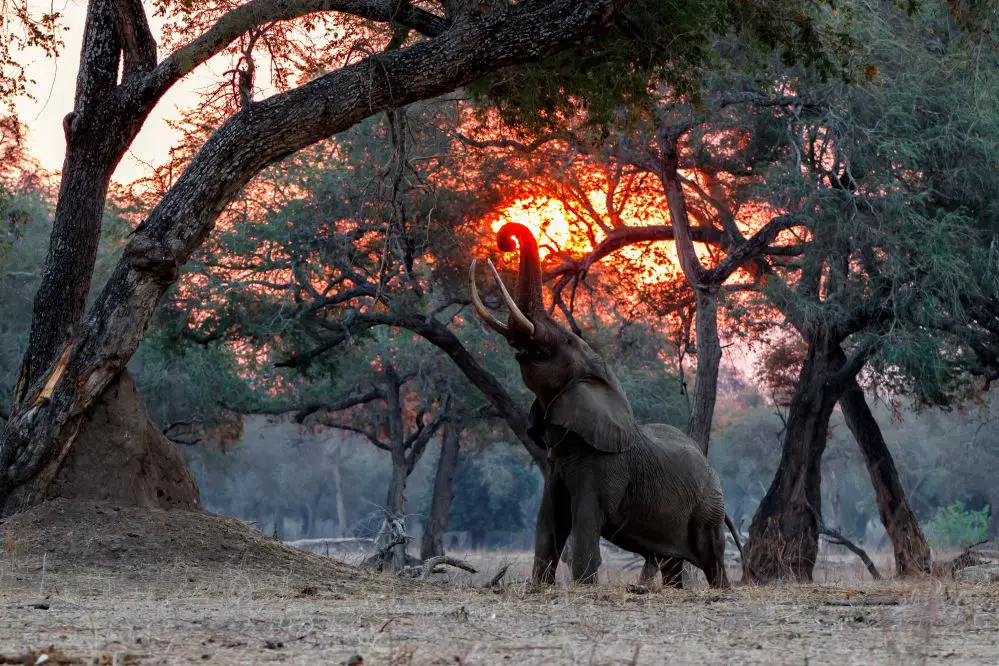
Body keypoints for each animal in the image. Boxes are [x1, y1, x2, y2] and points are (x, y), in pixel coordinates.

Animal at [466, 222, 736, 588]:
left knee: (712, 557)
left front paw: (583, 585)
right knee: (671, 563)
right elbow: (549, 521)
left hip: (708, 507)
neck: (602, 380)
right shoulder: (556, 464)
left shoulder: (604, 467)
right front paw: (541, 586)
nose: (502, 239)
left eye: (566, 340)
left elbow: (584, 521)